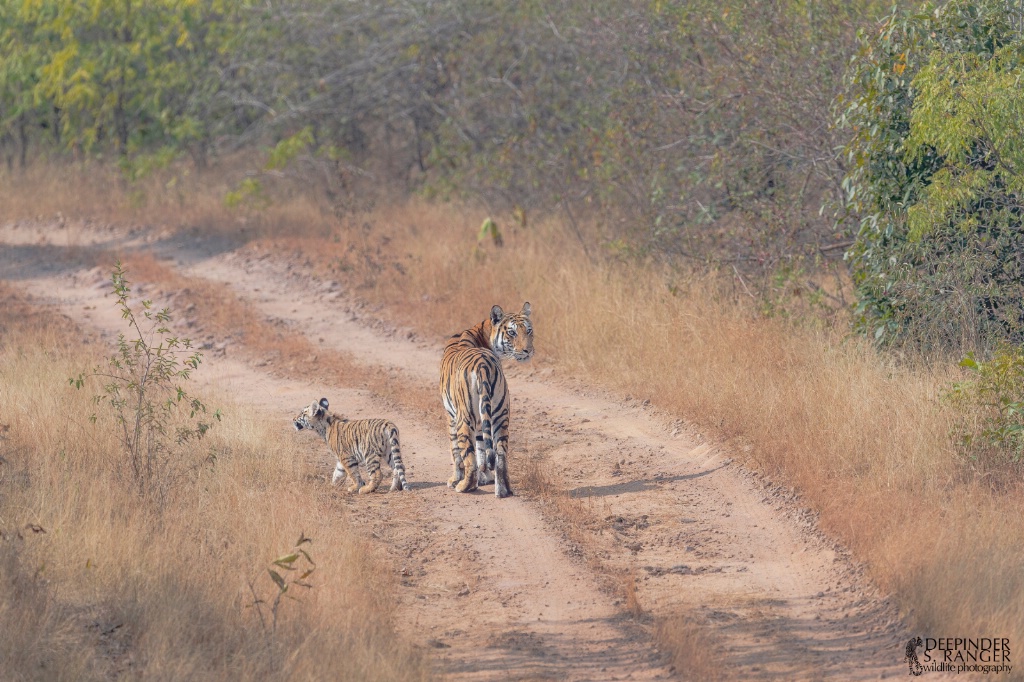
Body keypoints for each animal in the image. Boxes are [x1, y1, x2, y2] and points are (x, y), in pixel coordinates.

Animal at [440, 301, 536, 497]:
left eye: (529, 330)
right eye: (512, 332)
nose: (528, 351)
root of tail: (483, 364)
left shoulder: (450, 416)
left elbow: (456, 452)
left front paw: (455, 479)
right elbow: (482, 448)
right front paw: (486, 477)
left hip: (464, 418)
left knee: (468, 456)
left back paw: (464, 486)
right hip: (501, 416)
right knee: (500, 456)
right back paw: (503, 490)